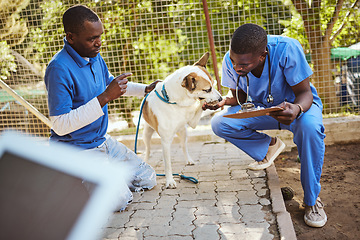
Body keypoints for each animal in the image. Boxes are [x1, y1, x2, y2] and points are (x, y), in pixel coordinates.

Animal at [141, 53, 222, 189]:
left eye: (213, 85)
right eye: (207, 89)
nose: (220, 98)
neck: (176, 102)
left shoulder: (193, 123)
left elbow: (199, 106)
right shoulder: (165, 141)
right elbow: (167, 164)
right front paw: (169, 181)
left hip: (183, 132)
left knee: (184, 146)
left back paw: (188, 159)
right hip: (146, 133)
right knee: (148, 149)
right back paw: (146, 160)